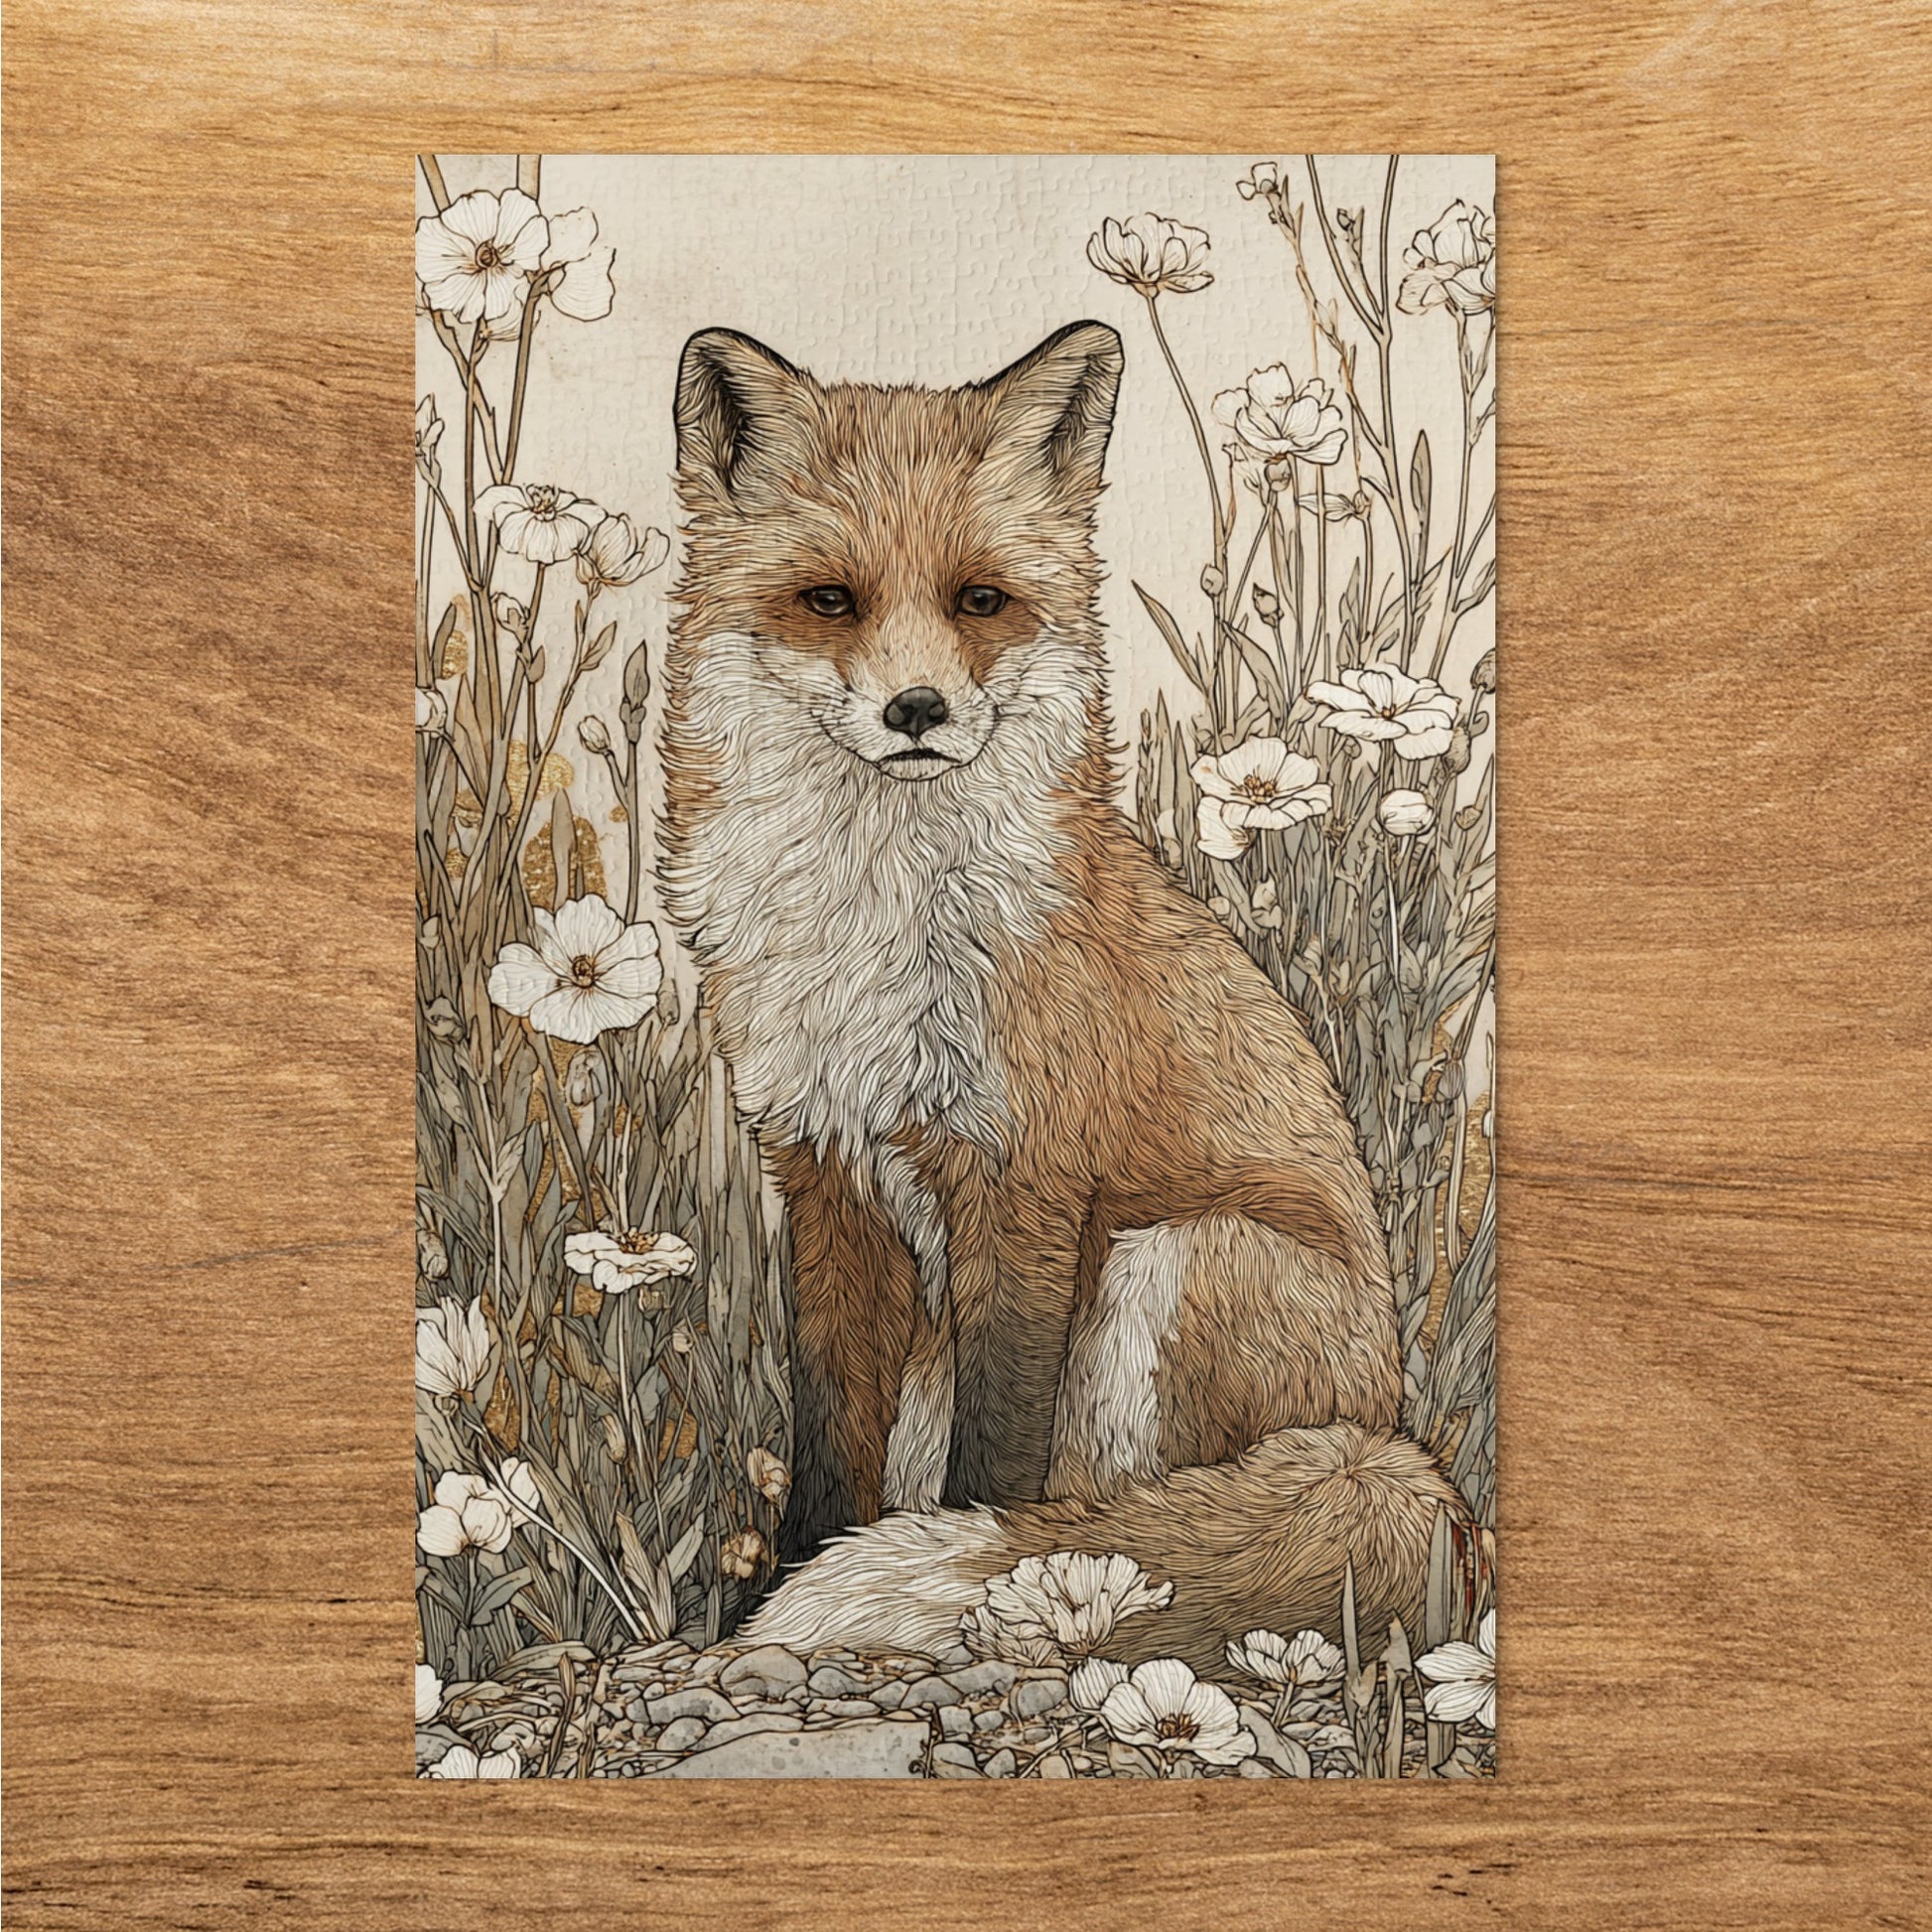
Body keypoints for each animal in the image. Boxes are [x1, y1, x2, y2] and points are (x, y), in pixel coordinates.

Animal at [657, 319, 1476, 1675]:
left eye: (979, 599)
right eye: (829, 599)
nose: (917, 709)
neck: (876, 922)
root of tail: (1386, 1433)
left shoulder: (1022, 1175)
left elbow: (996, 1459)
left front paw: (964, 1581)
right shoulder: (822, 1172)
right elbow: (829, 1436)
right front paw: (776, 1591)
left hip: (1170, 1256)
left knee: (1120, 1516)